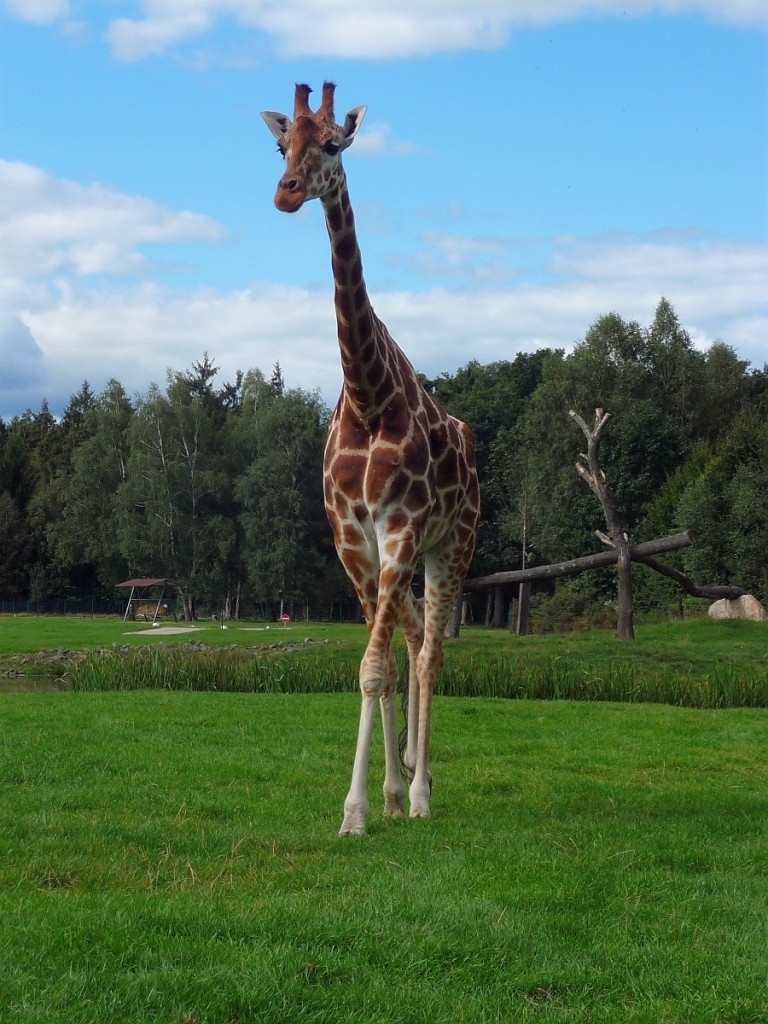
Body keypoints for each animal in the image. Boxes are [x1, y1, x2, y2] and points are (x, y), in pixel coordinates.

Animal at [264, 79, 481, 831]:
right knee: (413, 639)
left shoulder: (402, 527)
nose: (286, 193)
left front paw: (358, 809)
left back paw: (421, 794)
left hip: (454, 544)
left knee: (432, 651)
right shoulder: (350, 536)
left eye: (334, 144)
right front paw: (372, 797)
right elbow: (374, 666)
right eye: (280, 145)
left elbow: (375, 665)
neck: (366, 395)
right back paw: (407, 777)